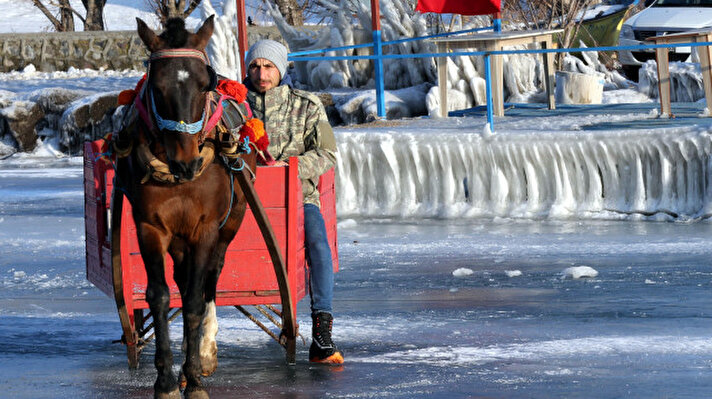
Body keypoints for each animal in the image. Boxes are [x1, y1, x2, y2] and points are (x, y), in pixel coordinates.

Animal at [117, 16, 258, 399]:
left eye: (202, 83)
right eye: (157, 86)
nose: (186, 162)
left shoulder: (205, 228)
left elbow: (195, 299)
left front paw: (194, 377)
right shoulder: (150, 227)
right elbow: (160, 296)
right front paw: (165, 380)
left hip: (231, 221)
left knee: (210, 276)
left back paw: (204, 349)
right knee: (182, 279)